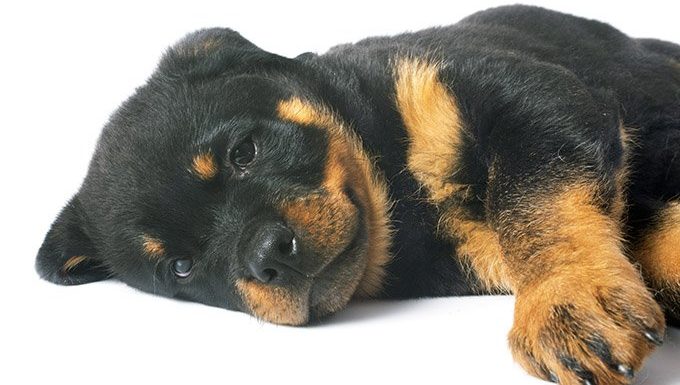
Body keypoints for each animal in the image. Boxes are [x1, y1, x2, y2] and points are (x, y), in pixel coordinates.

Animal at [37, 5, 680, 384]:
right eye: (180, 267)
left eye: (244, 151)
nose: (267, 258)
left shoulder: (531, 95)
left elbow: (535, 199)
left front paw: (566, 296)